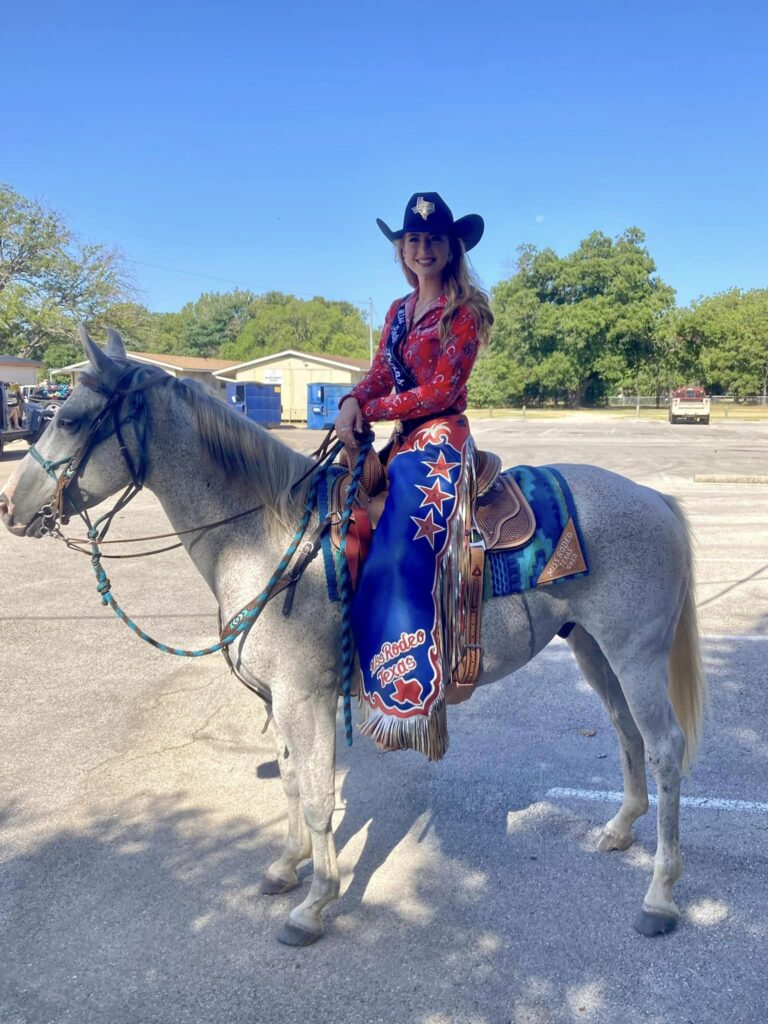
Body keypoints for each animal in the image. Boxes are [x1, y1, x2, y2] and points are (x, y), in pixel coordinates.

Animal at [1, 327, 708, 942]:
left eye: (70, 419)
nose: (12, 508)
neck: (266, 536)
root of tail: (654, 498)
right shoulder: (278, 700)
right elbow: (291, 782)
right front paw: (286, 868)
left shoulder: (304, 697)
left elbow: (318, 798)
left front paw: (315, 904)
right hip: (593, 649)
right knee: (627, 733)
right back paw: (619, 829)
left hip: (636, 656)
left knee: (666, 747)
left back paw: (660, 895)